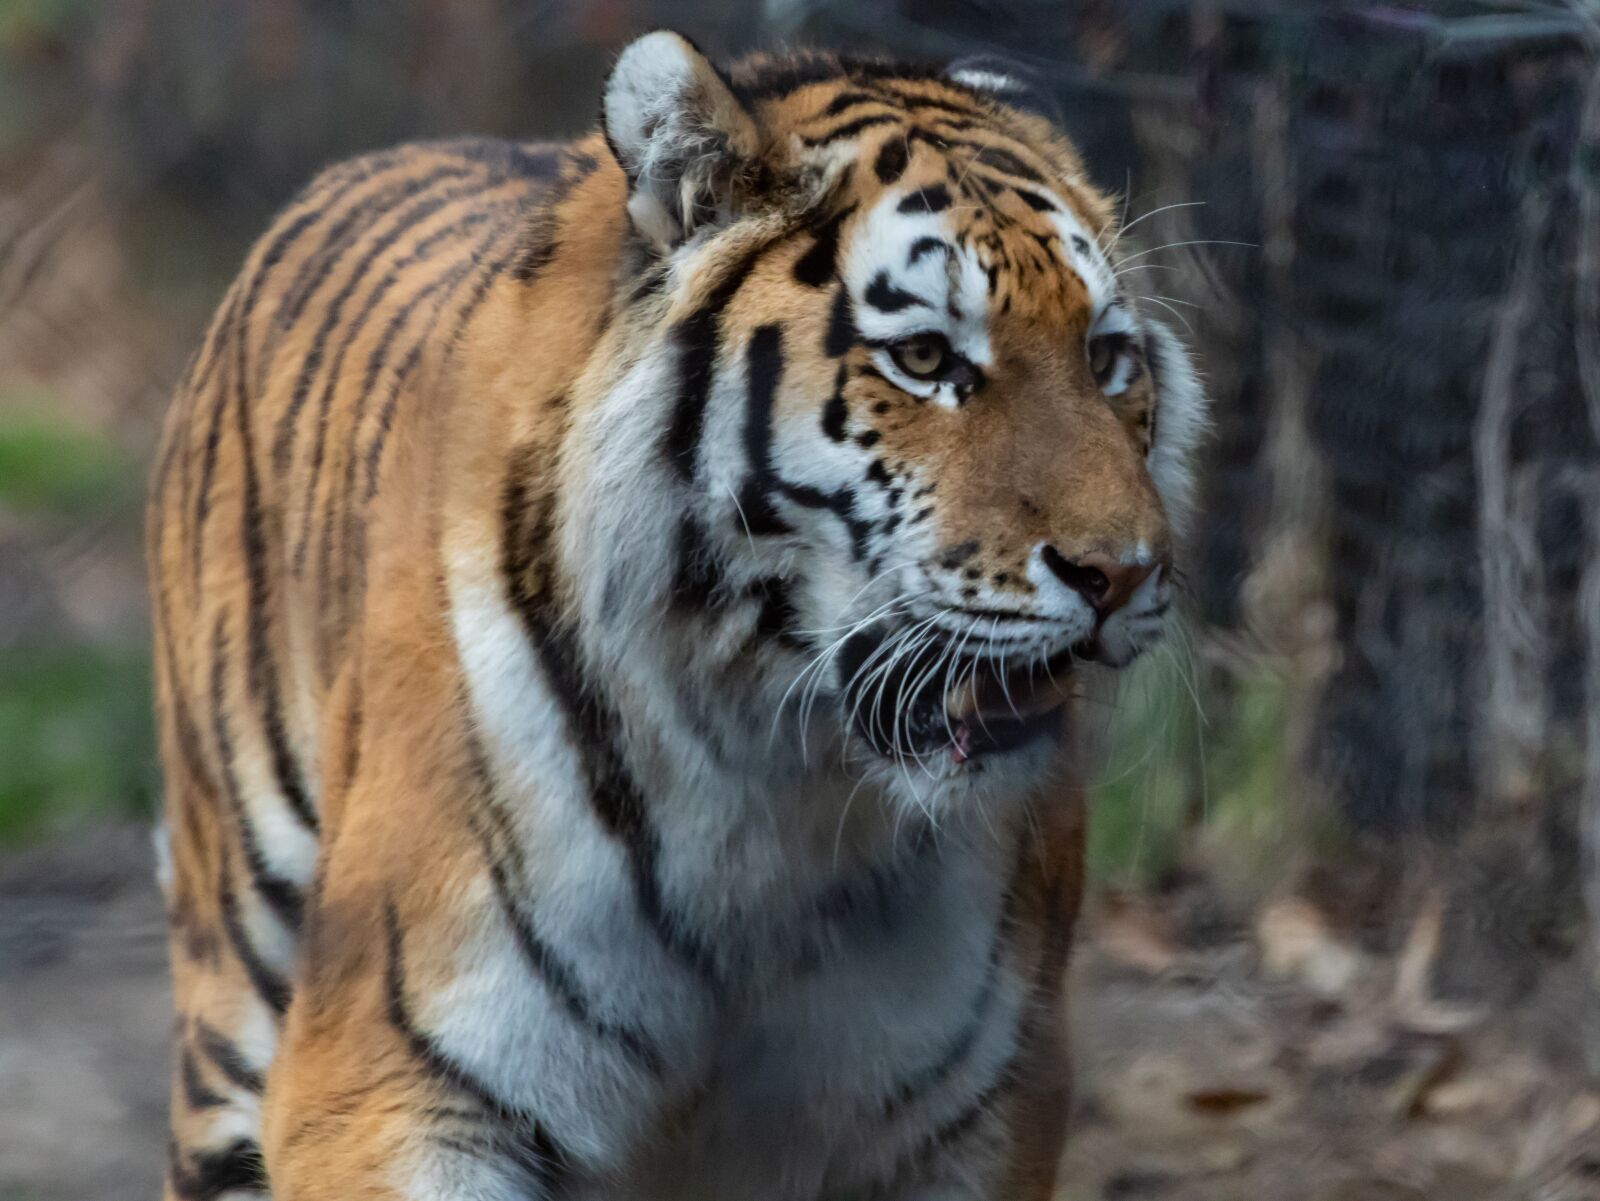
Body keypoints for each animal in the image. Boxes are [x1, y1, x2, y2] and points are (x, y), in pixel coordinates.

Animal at [146, 30, 1204, 1201]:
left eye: (1105, 357)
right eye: (925, 358)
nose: (1122, 572)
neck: (782, 780)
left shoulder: (982, 1103)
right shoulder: (394, 1084)